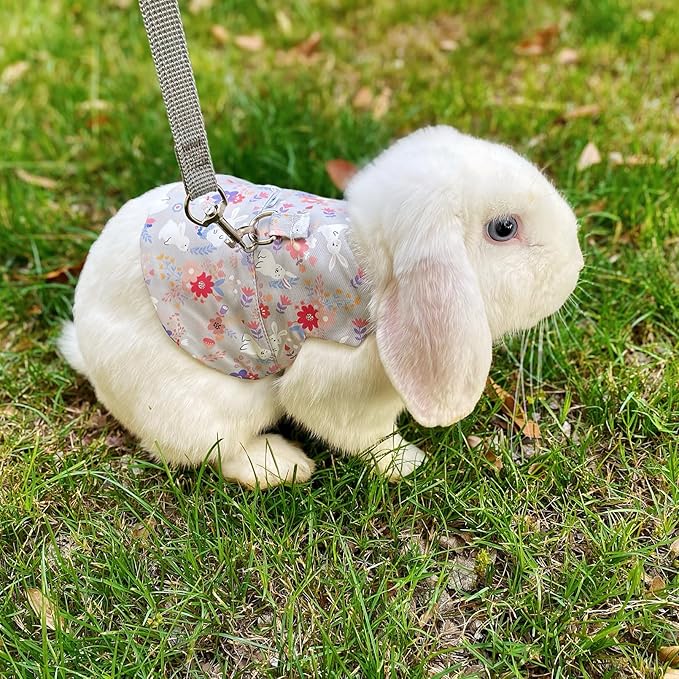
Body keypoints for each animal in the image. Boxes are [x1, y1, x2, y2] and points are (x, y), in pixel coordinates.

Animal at [58, 125, 583, 488]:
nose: (576, 263)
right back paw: (283, 465)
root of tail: (91, 359)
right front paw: (406, 462)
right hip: (204, 408)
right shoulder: (339, 379)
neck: (363, 262)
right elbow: (359, 432)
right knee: (213, 452)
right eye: (503, 229)